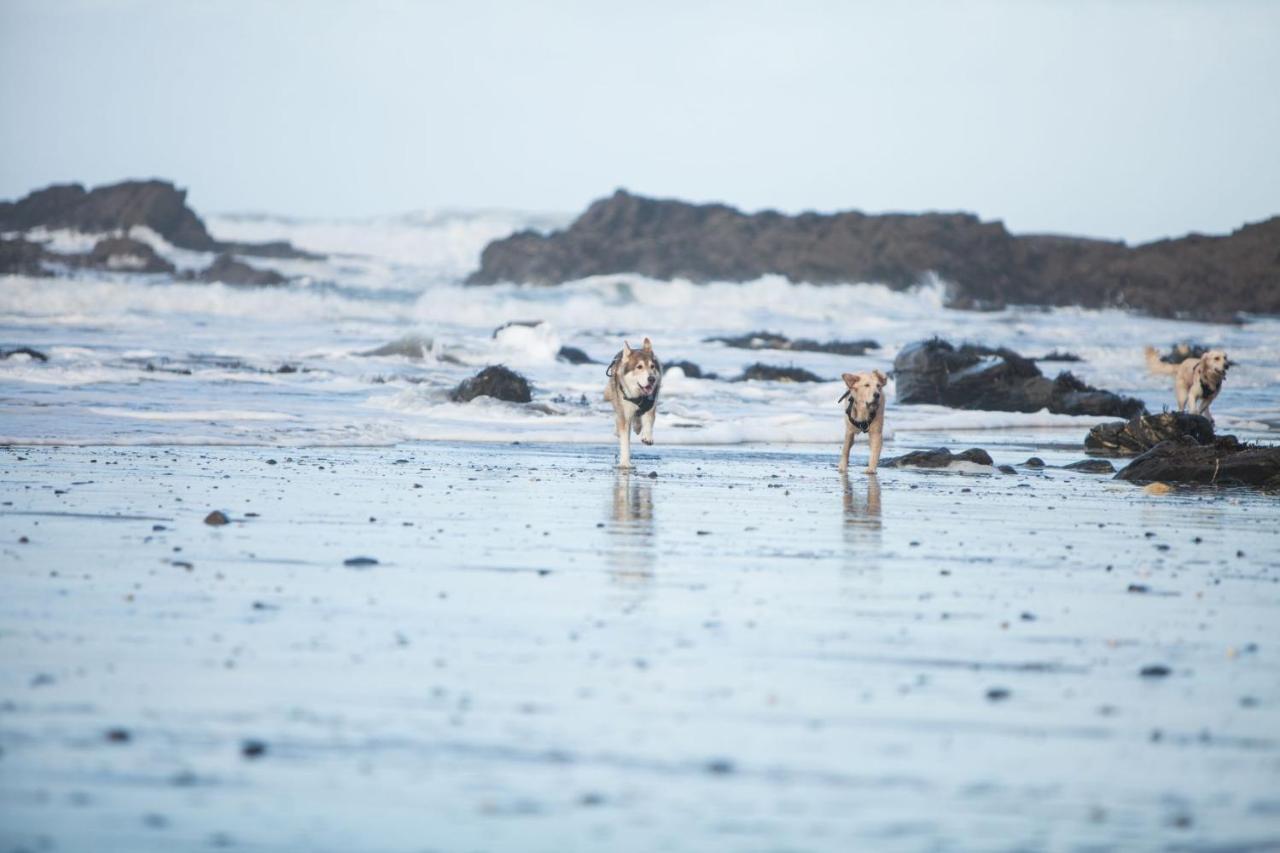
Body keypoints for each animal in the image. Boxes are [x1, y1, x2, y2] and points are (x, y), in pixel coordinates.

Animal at [601, 338, 660, 468]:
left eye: (652, 366)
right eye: (639, 367)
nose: (652, 379)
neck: (639, 396)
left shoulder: (651, 403)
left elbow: (648, 419)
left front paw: (647, 436)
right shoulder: (624, 413)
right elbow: (624, 439)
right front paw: (625, 463)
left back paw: (638, 426)